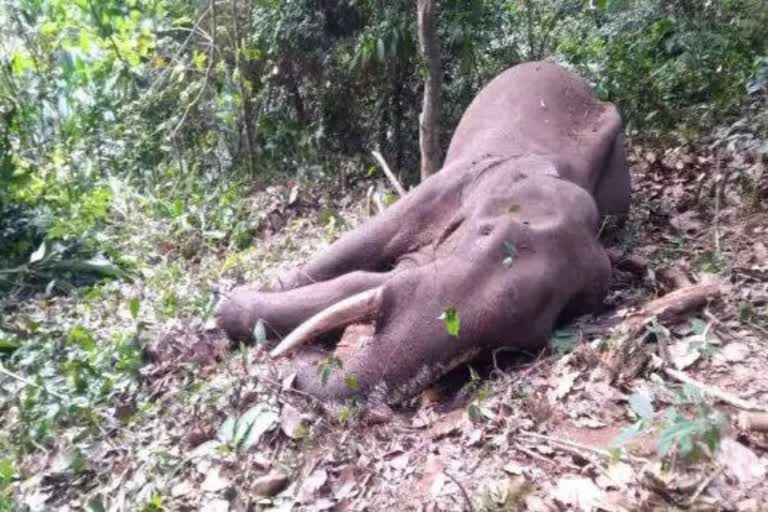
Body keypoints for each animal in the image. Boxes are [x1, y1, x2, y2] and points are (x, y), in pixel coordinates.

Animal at [216, 60, 632, 404]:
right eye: (485, 232)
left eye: (524, 339)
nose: (295, 361)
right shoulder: (457, 180)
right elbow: (360, 250)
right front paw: (225, 309)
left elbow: (363, 279)